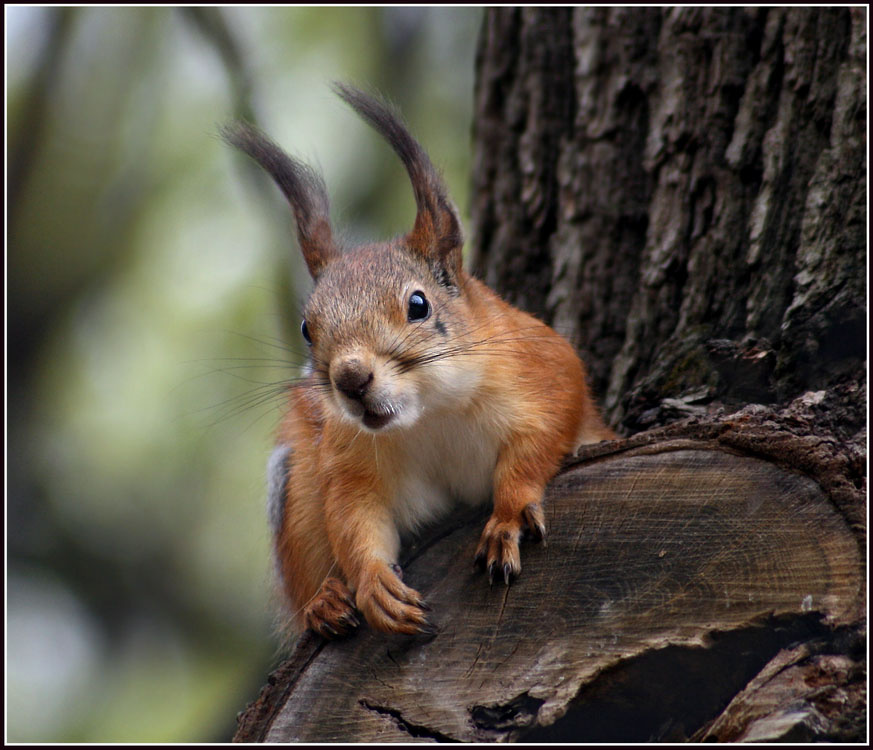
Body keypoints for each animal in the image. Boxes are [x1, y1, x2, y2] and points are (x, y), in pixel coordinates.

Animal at [223, 83, 615, 639]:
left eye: (418, 304)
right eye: (306, 329)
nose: (351, 378)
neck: (429, 416)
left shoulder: (545, 372)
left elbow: (534, 448)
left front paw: (507, 519)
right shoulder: (348, 460)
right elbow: (354, 518)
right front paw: (374, 585)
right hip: (293, 490)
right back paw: (324, 602)